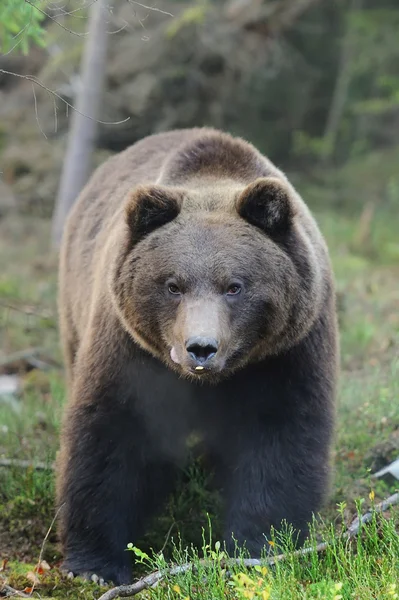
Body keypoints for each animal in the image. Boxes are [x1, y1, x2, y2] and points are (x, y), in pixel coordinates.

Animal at [56, 125, 340, 580]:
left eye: (234, 286)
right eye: (173, 285)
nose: (201, 347)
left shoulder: (287, 352)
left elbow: (281, 437)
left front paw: (261, 546)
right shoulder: (129, 347)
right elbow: (112, 433)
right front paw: (94, 563)